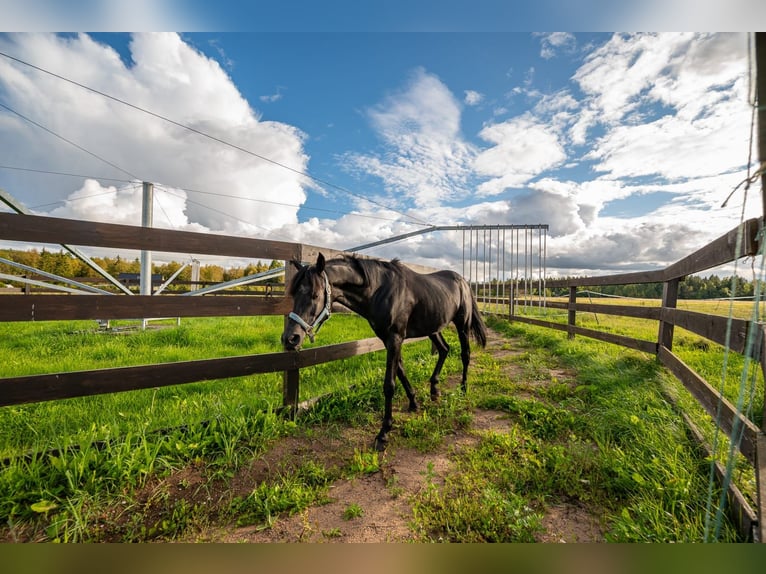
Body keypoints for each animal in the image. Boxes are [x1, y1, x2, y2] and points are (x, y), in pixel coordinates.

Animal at [281, 252, 488, 451]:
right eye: (294, 294)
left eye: (315, 295)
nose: (290, 338)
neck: (379, 290)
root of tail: (463, 282)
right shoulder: (388, 340)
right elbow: (401, 372)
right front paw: (413, 403)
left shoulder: (395, 338)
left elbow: (389, 384)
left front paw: (383, 434)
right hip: (433, 328)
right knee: (444, 350)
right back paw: (434, 390)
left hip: (462, 325)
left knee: (465, 355)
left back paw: (463, 389)